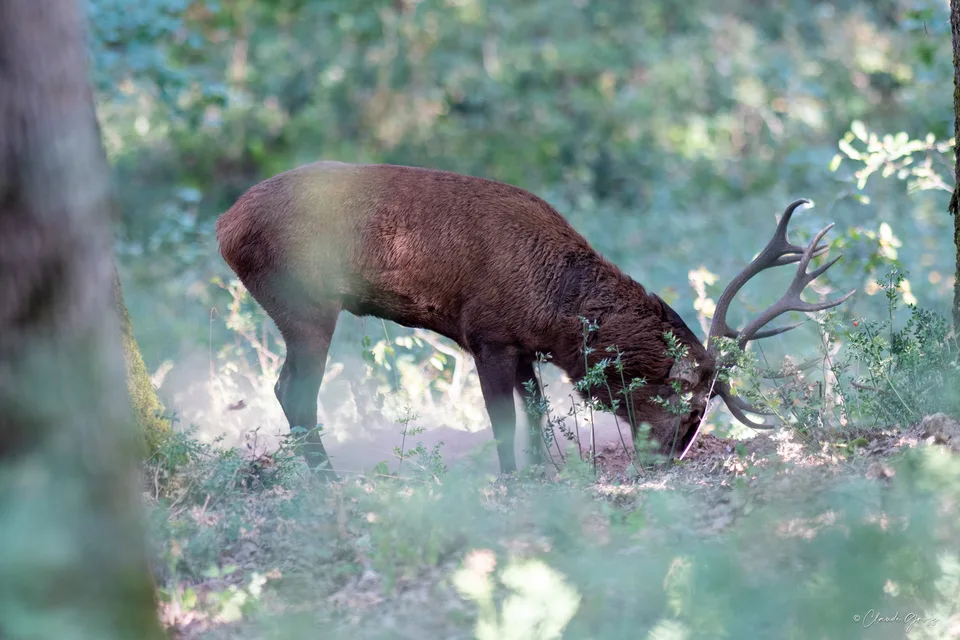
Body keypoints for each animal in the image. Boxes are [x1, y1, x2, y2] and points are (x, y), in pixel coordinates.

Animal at [215, 161, 854, 479]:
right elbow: (502, 417)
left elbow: (536, 409)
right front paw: (512, 478)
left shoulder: (524, 347)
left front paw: (545, 469)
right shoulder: (487, 334)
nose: (669, 457)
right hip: (303, 301)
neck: (555, 312)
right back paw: (328, 481)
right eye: (688, 403)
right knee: (293, 389)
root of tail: (224, 226)